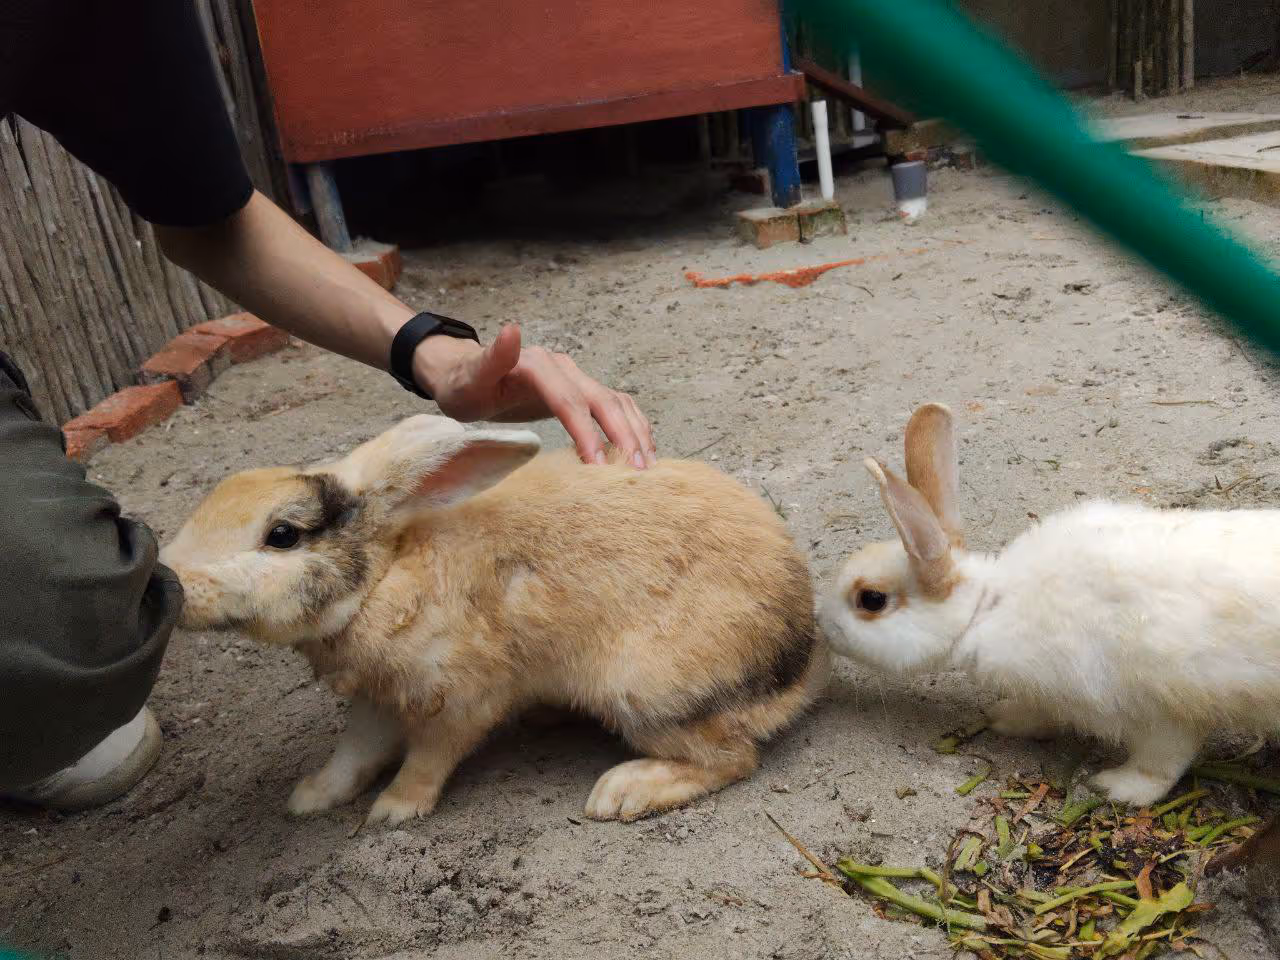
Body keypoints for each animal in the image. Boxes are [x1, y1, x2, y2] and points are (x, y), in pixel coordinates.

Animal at [160, 414, 828, 826]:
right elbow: (354, 753)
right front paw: (310, 798)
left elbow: (428, 758)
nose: (170, 581)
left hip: (646, 692)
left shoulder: (456, 697)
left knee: (734, 760)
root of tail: (798, 667)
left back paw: (621, 792)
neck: (387, 574)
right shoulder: (378, 700)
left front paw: (394, 811)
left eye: (282, 535)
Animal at [819, 402, 1280, 808]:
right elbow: (1041, 712)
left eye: (871, 599)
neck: (987, 609)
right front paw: (1003, 716)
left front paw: (1116, 788)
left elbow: (1162, 761)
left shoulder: (1158, 708)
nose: (821, 623)